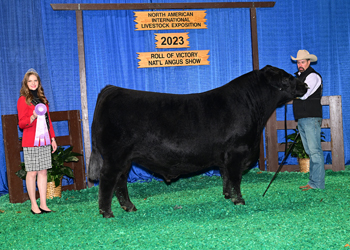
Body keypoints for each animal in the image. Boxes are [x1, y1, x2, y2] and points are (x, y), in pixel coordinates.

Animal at [89, 65, 308, 218]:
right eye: (287, 78)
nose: (305, 85)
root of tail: (112, 89)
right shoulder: (236, 152)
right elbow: (235, 178)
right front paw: (239, 201)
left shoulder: (224, 156)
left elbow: (226, 176)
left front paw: (227, 196)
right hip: (115, 156)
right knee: (107, 180)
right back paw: (107, 213)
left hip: (125, 159)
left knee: (120, 182)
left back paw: (130, 207)